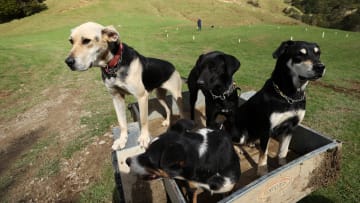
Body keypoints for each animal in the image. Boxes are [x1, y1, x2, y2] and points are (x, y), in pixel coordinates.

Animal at [64, 22, 186, 150]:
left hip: (176, 95)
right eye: (71, 41)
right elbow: (122, 122)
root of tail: (173, 67)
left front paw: (144, 138)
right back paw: (167, 121)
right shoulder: (116, 97)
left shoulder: (142, 97)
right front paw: (122, 140)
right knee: (168, 109)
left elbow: (143, 120)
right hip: (160, 95)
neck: (114, 66)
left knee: (182, 111)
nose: (68, 62)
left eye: (86, 41)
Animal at [231, 40, 326, 176]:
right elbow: (263, 154)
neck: (290, 95)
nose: (321, 67)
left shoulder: (291, 127)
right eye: (299, 54)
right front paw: (262, 171)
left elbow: (283, 150)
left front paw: (283, 164)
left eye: (318, 54)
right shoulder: (267, 129)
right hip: (241, 132)